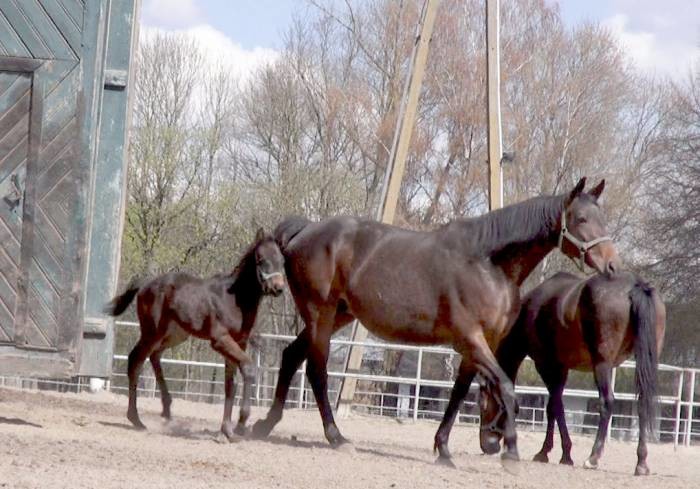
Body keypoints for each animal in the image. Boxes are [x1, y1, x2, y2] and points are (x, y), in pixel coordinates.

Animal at [104, 229, 284, 438]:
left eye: (281, 260)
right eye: (261, 259)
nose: (278, 288)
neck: (234, 300)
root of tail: (146, 283)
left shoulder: (239, 342)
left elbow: (229, 385)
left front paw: (227, 431)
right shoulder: (221, 340)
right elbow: (247, 368)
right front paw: (240, 423)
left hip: (175, 334)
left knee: (155, 356)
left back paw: (166, 409)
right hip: (152, 332)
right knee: (136, 360)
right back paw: (136, 419)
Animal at [250, 176, 616, 462]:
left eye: (602, 217)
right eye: (581, 219)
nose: (612, 264)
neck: (487, 262)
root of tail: (306, 230)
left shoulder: (478, 344)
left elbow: (459, 393)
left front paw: (443, 449)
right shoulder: (471, 338)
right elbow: (505, 387)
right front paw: (511, 452)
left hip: (337, 314)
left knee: (291, 356)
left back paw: (265, 424)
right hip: (320, 315)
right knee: (316, 371)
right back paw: (336, 437)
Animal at [478, 270, 664, 472]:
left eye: (483, 405)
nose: (485, 446)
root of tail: (636, 286)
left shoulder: (547, 365)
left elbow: (554, 406)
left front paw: (551, 453)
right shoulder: (562, 368)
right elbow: (554, 407)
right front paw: (557, 453)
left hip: (602, 365)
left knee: (607, 402)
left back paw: (593, 457)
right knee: (643, 403)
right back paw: (641, 462)